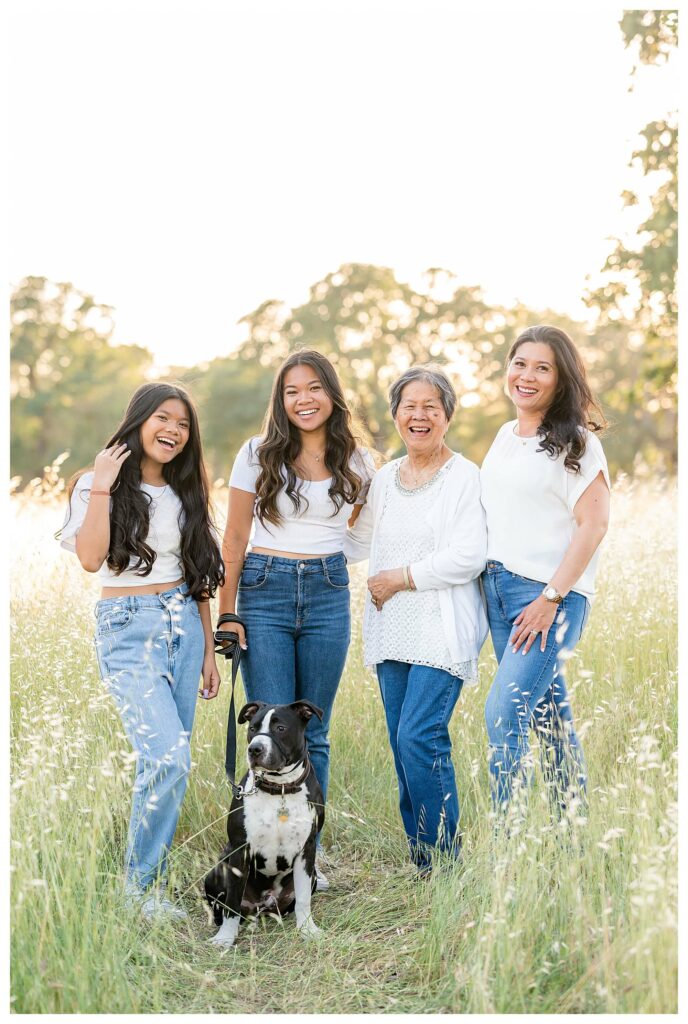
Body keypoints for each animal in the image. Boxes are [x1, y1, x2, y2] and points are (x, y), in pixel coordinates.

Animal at [204, 700, 325, 946]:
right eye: (252, 728)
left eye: (280, 728)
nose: (255, 749)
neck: (280, 788)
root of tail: (262, 905)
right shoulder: (240, 849)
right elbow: (232, 902)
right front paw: (226, 938)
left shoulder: (306, 851)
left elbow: (304, 899)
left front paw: (307, 930)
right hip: (217, 869)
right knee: (221, 904)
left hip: (313, 876)